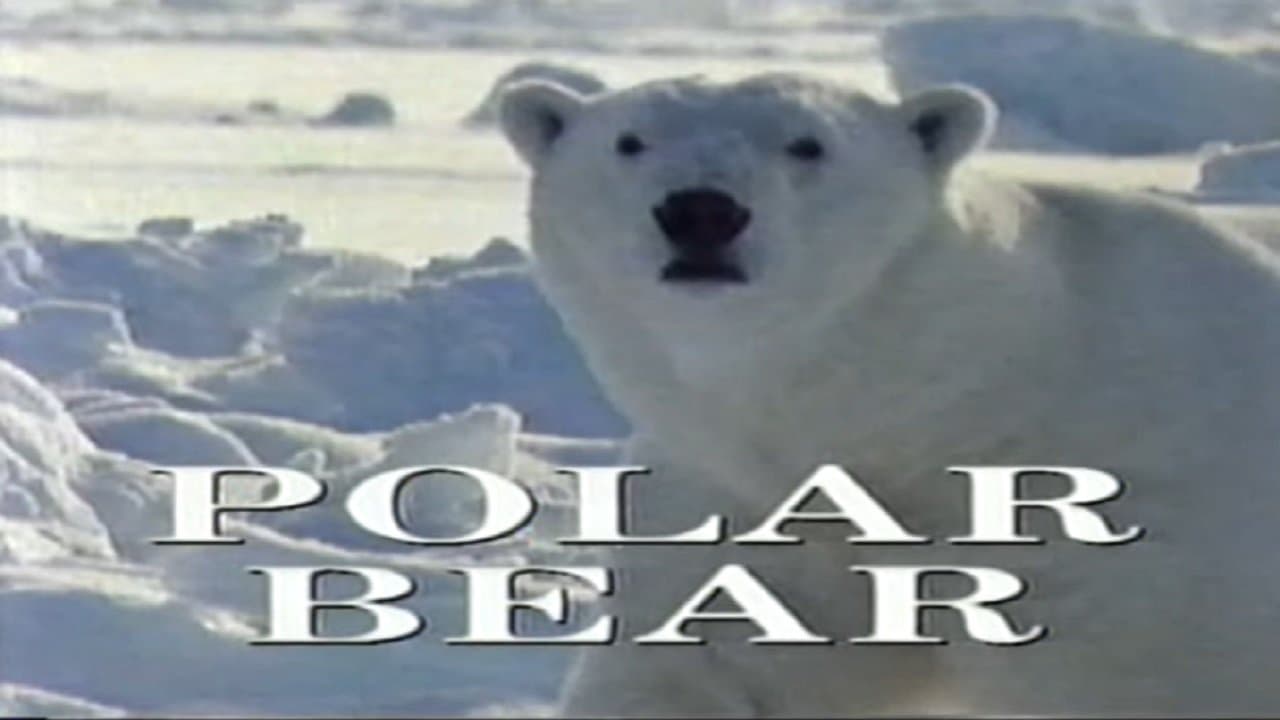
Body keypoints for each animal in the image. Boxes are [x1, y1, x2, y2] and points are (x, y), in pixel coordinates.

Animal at [497, 72, 1280, 717]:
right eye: (629, 141)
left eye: (807, 144)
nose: (701, 211)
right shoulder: (746, 503)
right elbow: (706, 664)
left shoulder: (1122, 522)